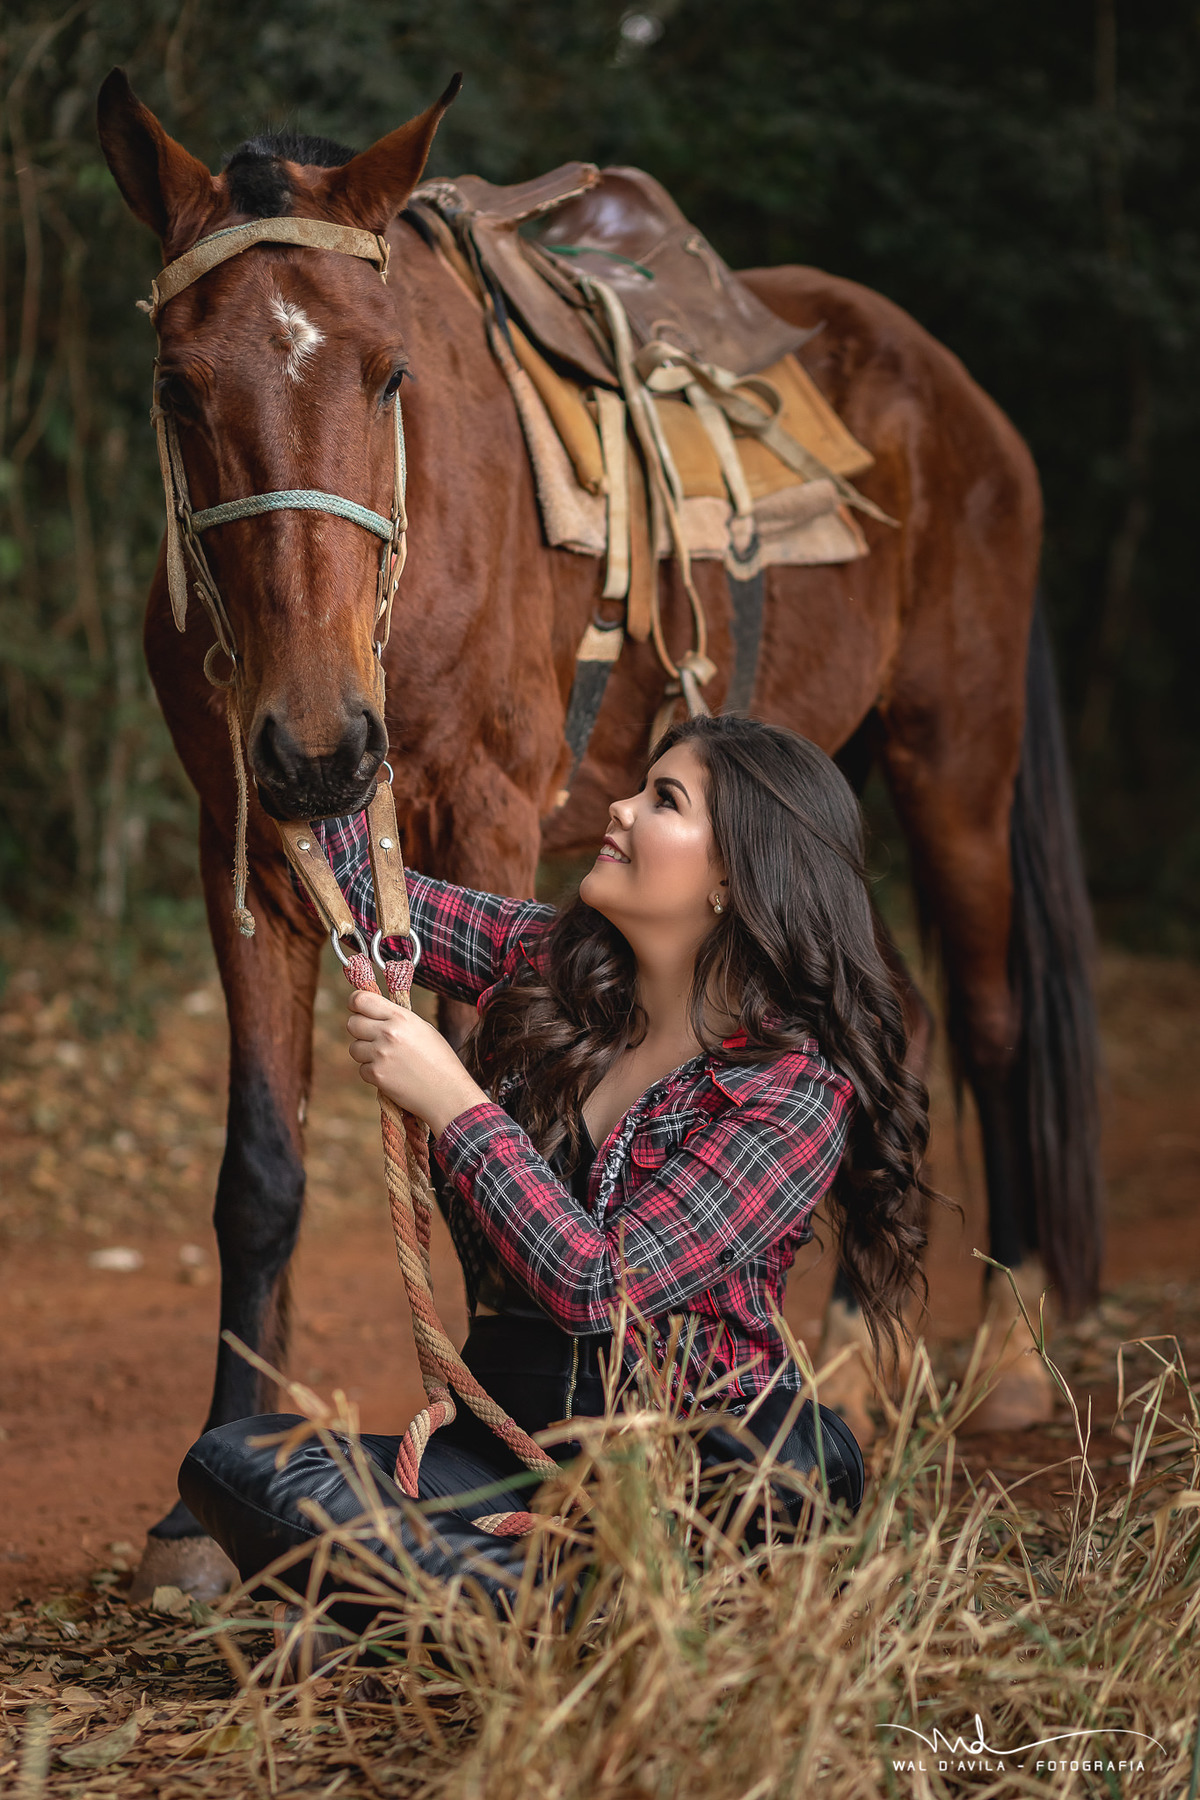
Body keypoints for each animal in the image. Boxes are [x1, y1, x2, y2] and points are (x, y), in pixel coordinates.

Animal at [97, 69, 1100, 1599]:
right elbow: (261, 1172)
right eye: (177, 385)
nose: (323, 744)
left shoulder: (483, 817)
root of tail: (961, 397)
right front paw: (194, 1521)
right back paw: (851, 1368)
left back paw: (1013, 1359)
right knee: (902, 1024)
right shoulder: (253, 843)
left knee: (989, 1027)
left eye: (390, 377)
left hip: (956, 768)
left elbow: (481, 1123)